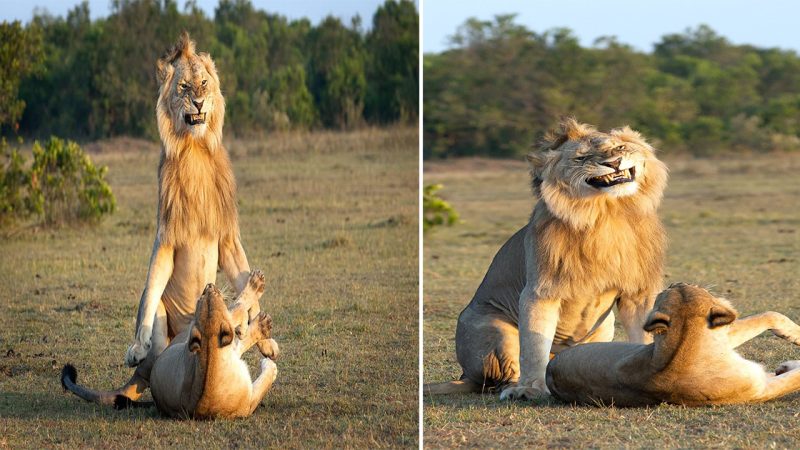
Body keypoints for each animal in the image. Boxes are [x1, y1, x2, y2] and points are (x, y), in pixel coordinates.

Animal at [64, 31, 255, 404]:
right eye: (183, 86)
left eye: (204, 83)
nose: (198, 103)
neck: (195, 149)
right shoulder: (166, 236)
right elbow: (152, 283)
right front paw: (136, 345)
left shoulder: (227, 236)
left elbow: (244, 273)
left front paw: (259, 317)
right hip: (165, 330)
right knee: (155, 330)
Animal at [424, 119, 668, 400]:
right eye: (582, 157)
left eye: (619, 147)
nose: (614, 162)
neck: (606, 215)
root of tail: (465, 374)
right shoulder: (540, 291)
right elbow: (534, 345)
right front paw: (530, 389)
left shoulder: (638, 293)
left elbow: (645, 336)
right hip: (494, 328)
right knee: (504, 375)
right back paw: (515, 389)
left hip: (603, 328)